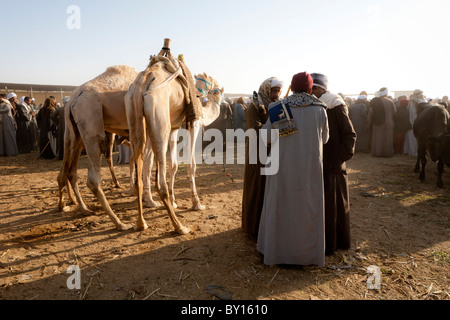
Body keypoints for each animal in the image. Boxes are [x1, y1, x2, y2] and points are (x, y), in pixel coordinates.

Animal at [125, 53, 223, 234]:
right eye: (215, 88)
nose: (221, 92)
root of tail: (141, 85)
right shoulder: (194, 123)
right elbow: (191, 165)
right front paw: (197, 203)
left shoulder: (175, 127)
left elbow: (174, 165)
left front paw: (174, 201)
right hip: (160, 123)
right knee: (159, 181)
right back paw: (179, 226)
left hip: (135, 118)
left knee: (141, 169)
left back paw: (141, 222)